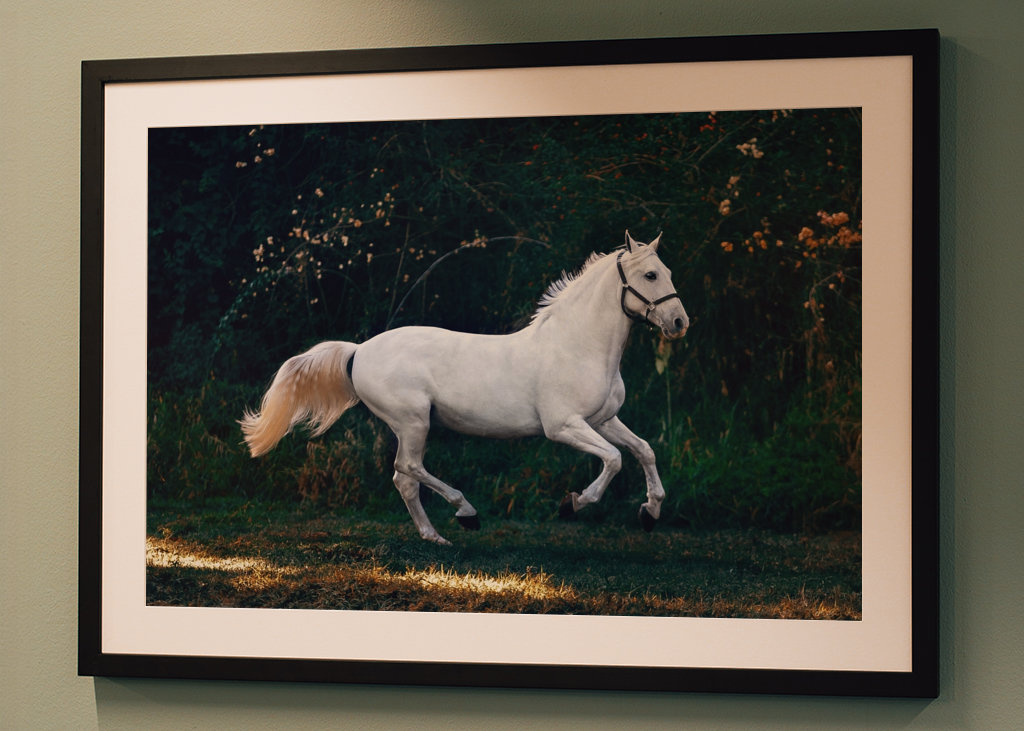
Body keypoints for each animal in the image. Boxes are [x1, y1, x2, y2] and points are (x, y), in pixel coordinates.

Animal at [240, 231, 689, 544]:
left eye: (668, 273)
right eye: (650, 274)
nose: (679, 323)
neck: (577, 346)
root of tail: (359, 351)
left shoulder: (603, 419)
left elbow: (643, 450)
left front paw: (650, 513)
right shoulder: (563, 426)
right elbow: (614, 459)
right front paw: (573, 503)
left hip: (412, 425)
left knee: (404, 478)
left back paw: (436, 536)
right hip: (413, 422)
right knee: (408, 469)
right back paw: (466, 513)